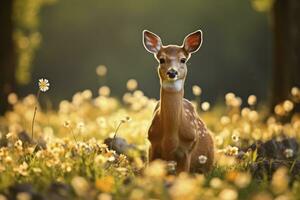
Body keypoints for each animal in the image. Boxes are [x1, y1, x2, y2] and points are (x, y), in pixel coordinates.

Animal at [142, 29, 213, 173]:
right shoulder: (152, 145)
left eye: (183, 60)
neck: (170, 138)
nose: (172, 72)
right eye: (162, 59)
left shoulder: (187, 149)